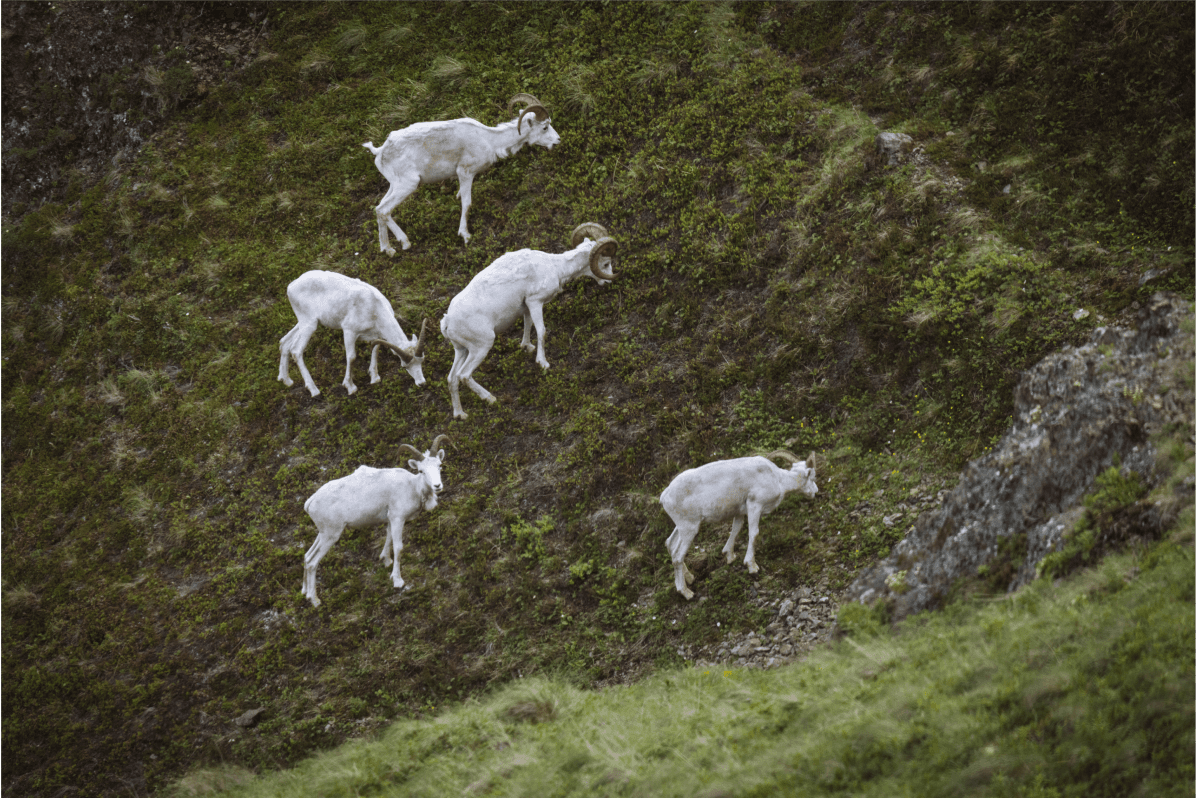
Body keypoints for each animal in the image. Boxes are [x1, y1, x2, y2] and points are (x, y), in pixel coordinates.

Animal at [278, 269, 429, 397]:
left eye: (422, 360)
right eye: (404, 366)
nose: (421, 383)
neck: (373, 305)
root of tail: (290, 287)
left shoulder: (376, 334)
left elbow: (376, 348)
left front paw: (374, 378)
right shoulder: (349, 331)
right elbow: (351, 357)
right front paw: (350, 387)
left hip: (304, 323)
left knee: (284, 342)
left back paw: (286, 381)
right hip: (309, 325)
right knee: (296, 350)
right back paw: (314, 390)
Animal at [301, 435, 450, 608]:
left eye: (439, 466)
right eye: (421, 470)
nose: (437, 486)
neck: (412, 487)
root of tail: (310, 503)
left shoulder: (391, 519)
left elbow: (388, 538)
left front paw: (385, 560)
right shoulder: (398, 518)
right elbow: (398, 547)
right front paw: (398, 581)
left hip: (323, 534)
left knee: (307, 556)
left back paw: (305, 593)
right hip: (331, 536)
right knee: (312, 562)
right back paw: (315, 600)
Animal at [362, 93, 560, 255]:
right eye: (545, 127)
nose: (558, 140)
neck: (489, 140)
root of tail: (380, 151)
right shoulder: (465, 172)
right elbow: (467, 203)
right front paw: (465, 235)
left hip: (395, 186)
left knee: (379, 209)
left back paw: (388, 249)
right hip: (408, 185)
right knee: (383, 210)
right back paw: (405, 243)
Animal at [440, 222, 618, 419]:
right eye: (606, 263)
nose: (608, 283)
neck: (555, 267)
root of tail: (448, 322)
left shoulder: (526, 307)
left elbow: (528, 325)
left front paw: (527, 347)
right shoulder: (535, 302)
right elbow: (541, 331)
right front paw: (543, 363)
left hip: (462, 350)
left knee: (452, 378)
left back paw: (461, 414)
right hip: (481, 346)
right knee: (464, 375)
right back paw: (491, 398)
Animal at [659, 451, 818, 599]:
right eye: (812, 477)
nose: (815, 492)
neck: (778, 479)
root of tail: (664, 497)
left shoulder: (740, 512)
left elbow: (736, 529)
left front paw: (730, 557)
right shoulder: (755, 505)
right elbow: (754, 533)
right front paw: (752, 566)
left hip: (682, 527)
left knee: (670, 544)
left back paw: (690, 578)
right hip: (689, 528)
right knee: (677, 556)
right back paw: (687, 593)